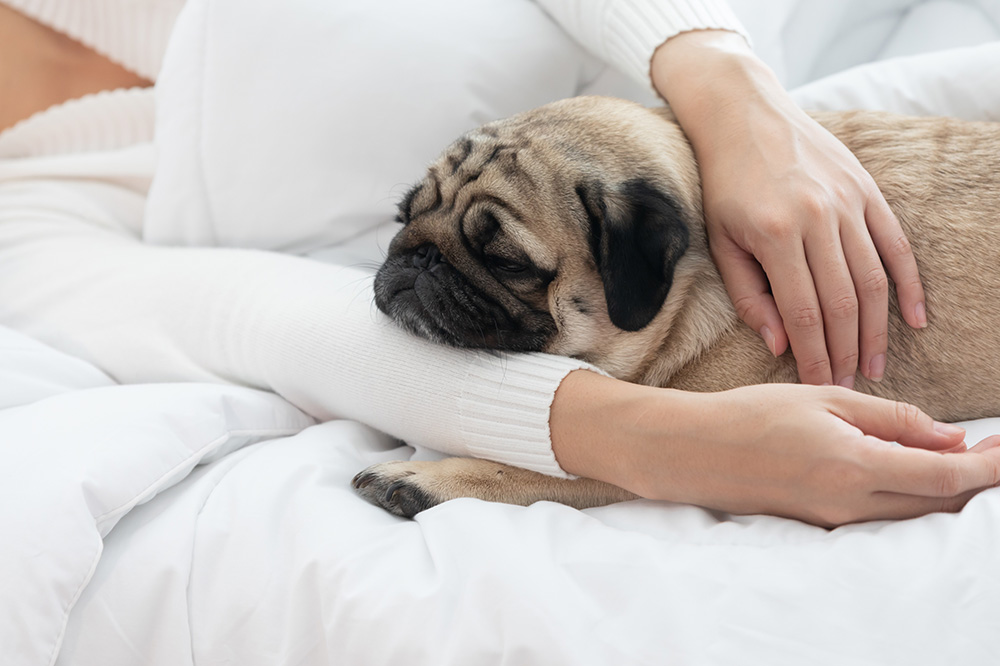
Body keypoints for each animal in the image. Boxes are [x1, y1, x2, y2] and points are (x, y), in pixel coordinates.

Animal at [352, 96, 1000, 516]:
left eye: (507, 262)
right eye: (404, 217)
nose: (419, 259)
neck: (693, 287)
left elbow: (527, 466)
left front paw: (426, 478)